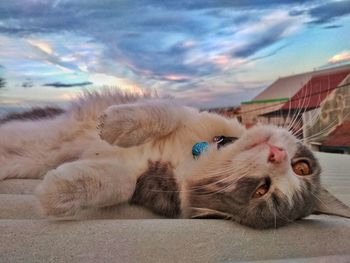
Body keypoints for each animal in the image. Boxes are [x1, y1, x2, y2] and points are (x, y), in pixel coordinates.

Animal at [0, 90, 348, 229]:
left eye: (262, 191)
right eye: (302, 167)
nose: (277, 154)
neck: (198, 154)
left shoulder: (145, 183)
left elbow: (118, 183)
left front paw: (53, 194)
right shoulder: (187, 115)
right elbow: (165, 113)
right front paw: (113, 125)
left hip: (28, 154)